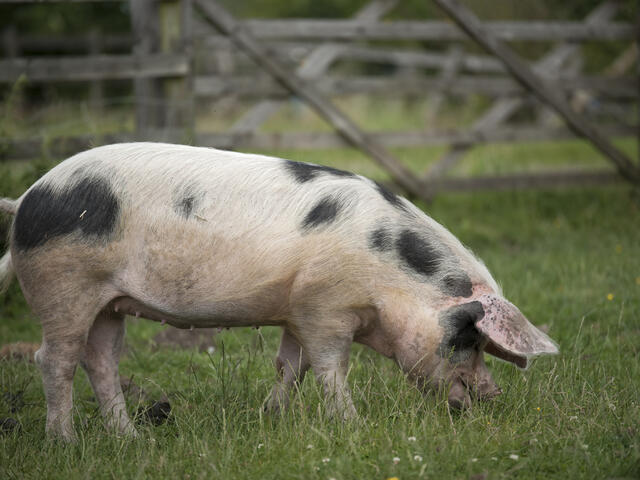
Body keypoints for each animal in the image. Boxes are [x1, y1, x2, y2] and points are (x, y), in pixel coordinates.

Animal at [0, 143, 558, 440]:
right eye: (467, 336)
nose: (491, 395)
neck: (389, 279)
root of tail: (26, 198)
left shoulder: (296, 310)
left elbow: (291, 366)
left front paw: (272, 418)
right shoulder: (325, 308)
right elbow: (332, 367)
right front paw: (351, 426)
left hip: (109, 304)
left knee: (101, 360)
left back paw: (131, 438)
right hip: (63, 283)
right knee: (54, 359)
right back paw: (66, 441)